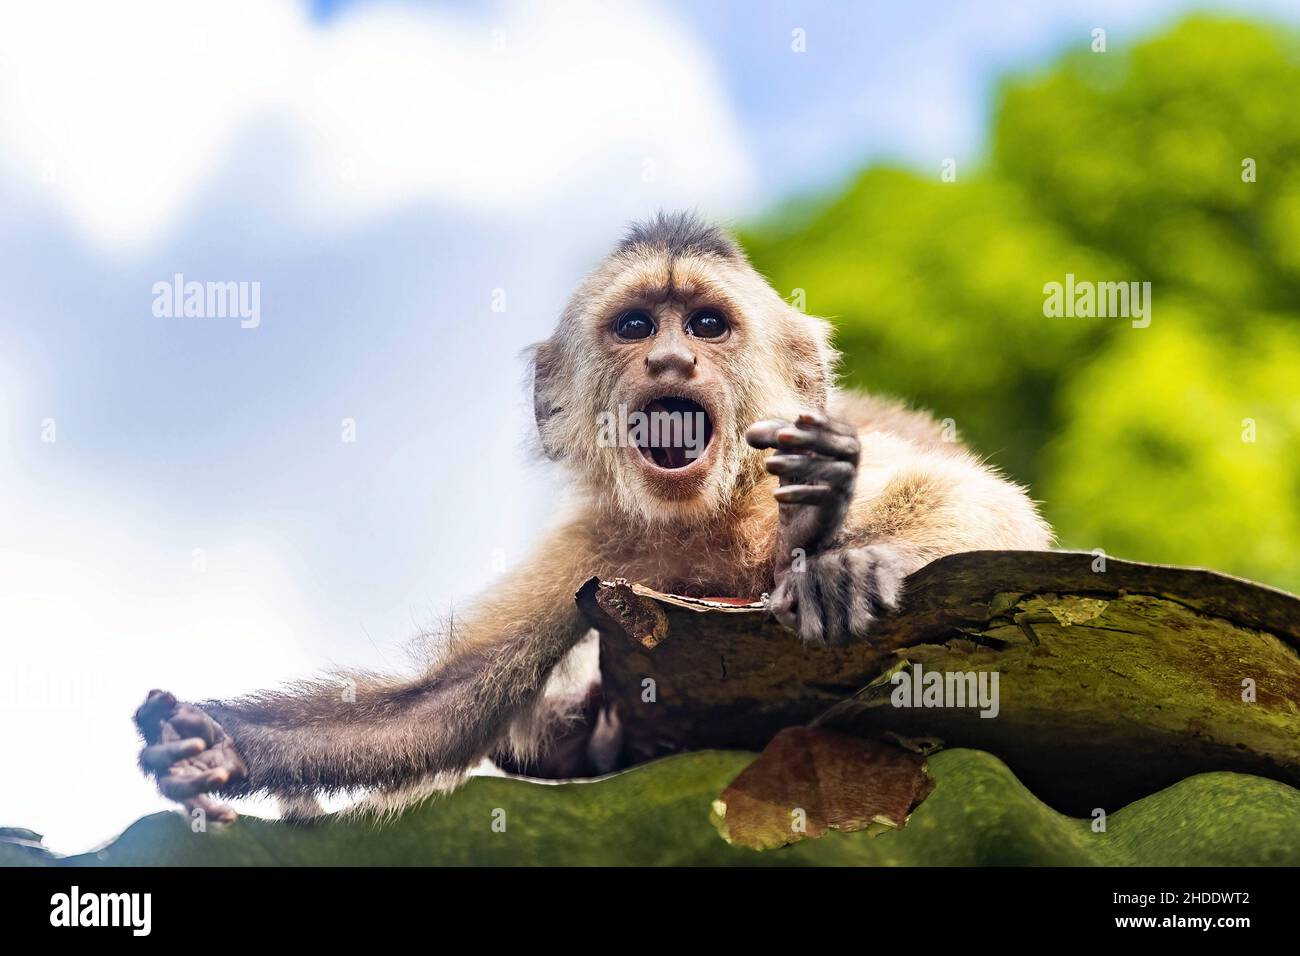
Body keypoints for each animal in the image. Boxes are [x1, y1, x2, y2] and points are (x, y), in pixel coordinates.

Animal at [134, 212, 1053, 821]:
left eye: (708, 325)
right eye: (637, 325)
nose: (672, 359)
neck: (703, 524)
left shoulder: (781, 460)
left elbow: (998, 514)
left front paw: (844, 556)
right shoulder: (593, 546)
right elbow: (442, 708)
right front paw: (210, 743)